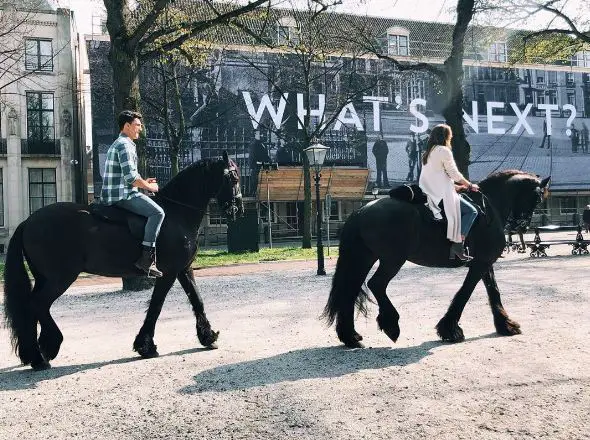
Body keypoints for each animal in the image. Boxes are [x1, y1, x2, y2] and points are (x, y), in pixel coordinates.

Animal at [2, 151, 243, 368]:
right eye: (233, 178)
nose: (238, 209)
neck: (176, 214)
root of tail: (28, 221)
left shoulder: (184, 269)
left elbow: (197, 300)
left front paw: (208, 336)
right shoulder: (168, 273)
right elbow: (156, 306)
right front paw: (146, 346)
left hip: (45, 278)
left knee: (34, 307)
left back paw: (38, 351)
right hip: (60, 278)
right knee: (37, 304)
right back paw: (42, 354)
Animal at [324, 168, 552, 348]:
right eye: (537, 197)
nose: (521, 225)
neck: (490, 207)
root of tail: (362, 211)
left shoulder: (484, 262)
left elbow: (493, 291)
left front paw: (505, 325)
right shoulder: (480, 264)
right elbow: (465, 293)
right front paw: (450, 329)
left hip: (364, 259)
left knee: (350, 291)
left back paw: (350, 337)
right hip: (392, 260)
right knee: (376, 284)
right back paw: (391, 324)